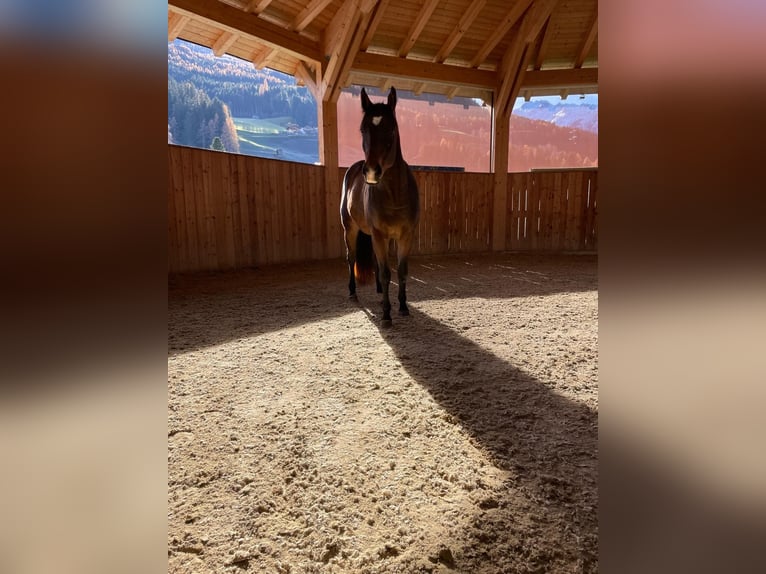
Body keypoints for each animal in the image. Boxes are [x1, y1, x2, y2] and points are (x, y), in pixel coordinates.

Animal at [340, 87, 420, 327]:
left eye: (391, 129)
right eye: (362, 129)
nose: (372, 172)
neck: (394, 194)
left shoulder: (404, 235)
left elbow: (401, 271)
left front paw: (402, 307)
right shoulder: (379, 234)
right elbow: (387, 274)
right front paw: (386, 314)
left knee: (376, 262)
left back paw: (377, 290)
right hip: (351, 230)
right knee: (351, 258)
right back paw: (353, 292)